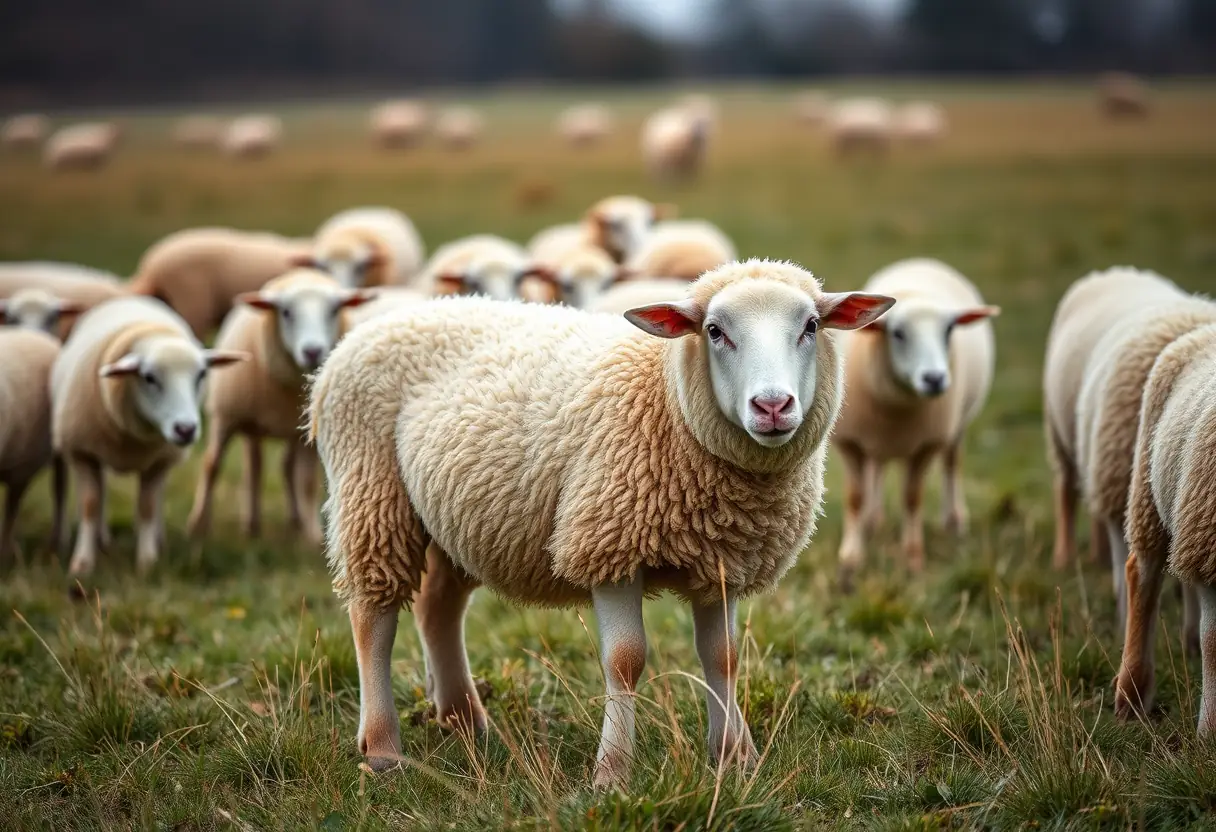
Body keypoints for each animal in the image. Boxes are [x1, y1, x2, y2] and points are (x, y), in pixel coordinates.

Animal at [50, 297, 245, 576]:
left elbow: (148, 507)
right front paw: (82, 564)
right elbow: (90, 504)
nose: (185, 429)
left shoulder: (158, 462)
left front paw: (147, 562)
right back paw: (101, 538)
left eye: (201, 374)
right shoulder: (82, 453)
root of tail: (133, 299)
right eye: (149, 377)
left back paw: (157, 538)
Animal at [188, 270, 371, 545]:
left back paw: (291, 521)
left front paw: (311, 536)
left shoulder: (306, 436)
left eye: (334, 310)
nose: (313, 351)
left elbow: (306, 481)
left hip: (290, 433)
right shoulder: (225, 416)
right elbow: (212, 465)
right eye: (285, 312)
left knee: (283, 468)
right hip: (251, 426)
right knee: (254, 467)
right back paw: (251, 525)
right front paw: (198, 526)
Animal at [308, 258, 894, 785]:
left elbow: (723, 657)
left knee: (438, 609)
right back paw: (383, 750)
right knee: (373, 618)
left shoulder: (723, 559)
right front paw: (612, 774)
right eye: (714, 331)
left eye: (811, 326)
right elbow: (626, 661)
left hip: (459, 518)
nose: (772, 406)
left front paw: (735, 760)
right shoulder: (609, 543)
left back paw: (466, 722)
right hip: (370, 493)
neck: (667, 400)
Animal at [832, 258, 999, 586]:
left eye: (949, 330)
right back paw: (872, 520)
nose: (934, 379)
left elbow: (912, 499)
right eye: (897, 333)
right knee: (878, 466)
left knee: (952, 464)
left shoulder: (927, 445)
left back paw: (955, 522)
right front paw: (850, 561)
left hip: (957, 425)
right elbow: (855, 498)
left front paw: (913, 560)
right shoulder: (851, 440)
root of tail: (922, 261)